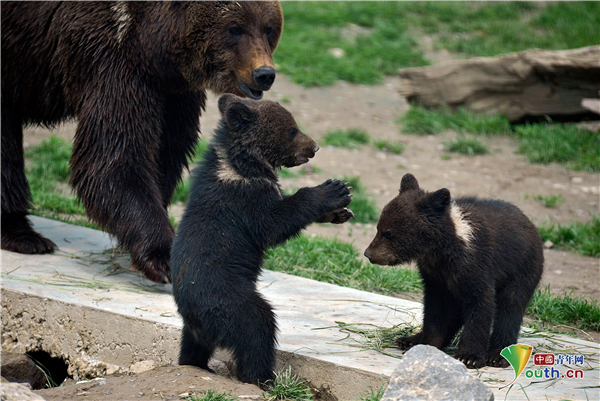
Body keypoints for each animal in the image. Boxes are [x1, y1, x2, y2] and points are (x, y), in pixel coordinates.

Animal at [1, 0, 284, 282]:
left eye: (269, 28)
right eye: (235, 28)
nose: (264, 74)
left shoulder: (172, 91)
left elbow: (166, 153)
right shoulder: (110, 57)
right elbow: (113, 159)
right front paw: (161, 257)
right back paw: (24, 235)